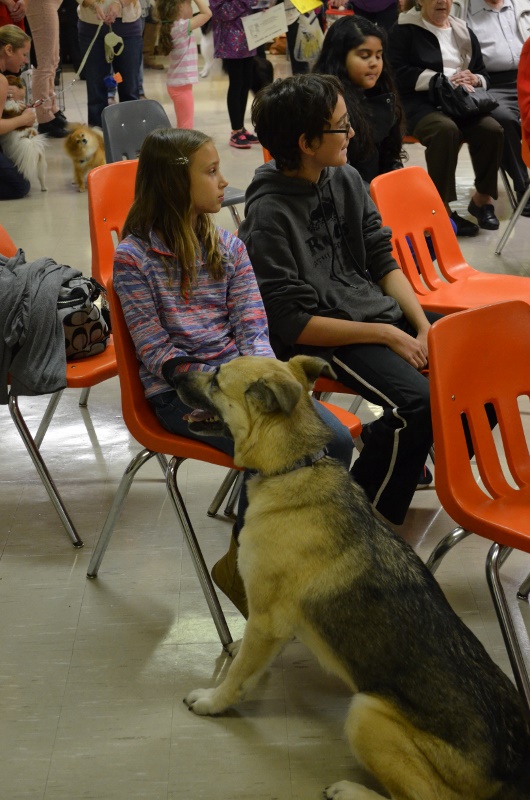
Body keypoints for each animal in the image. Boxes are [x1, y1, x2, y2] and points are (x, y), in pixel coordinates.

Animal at [175, 356, 528, 800]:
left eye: (217, 379)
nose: (171, 373)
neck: (294, 468)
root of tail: (513, 773)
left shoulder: (267, 618)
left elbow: (239, 676)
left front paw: (212, 701)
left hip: (366, 712)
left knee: (424, 797)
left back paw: (350, 790)